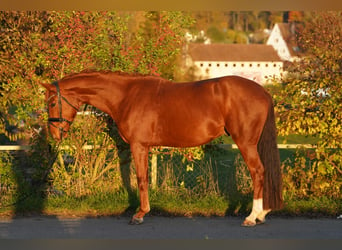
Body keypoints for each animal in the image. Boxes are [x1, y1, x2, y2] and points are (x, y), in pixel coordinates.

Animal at [42, 70, 284, 227]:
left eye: (52, 102)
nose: (54, 135)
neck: (127, 96)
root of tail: (263, 92)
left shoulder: (139, 146)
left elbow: (141, 179)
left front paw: (140, 214)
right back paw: (262, 213)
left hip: (245, 143)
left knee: (258, 172)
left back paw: (253, 216)